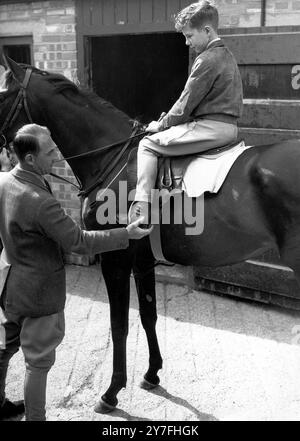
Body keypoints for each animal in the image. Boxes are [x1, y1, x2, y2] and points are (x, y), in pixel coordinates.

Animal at [0, 56, 300, 410]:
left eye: (1, 93)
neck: (111, 159)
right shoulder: (142, 261)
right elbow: (148, 315)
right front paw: (152, 374)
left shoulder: (114, 260)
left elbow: (119, 324)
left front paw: (112, 392)